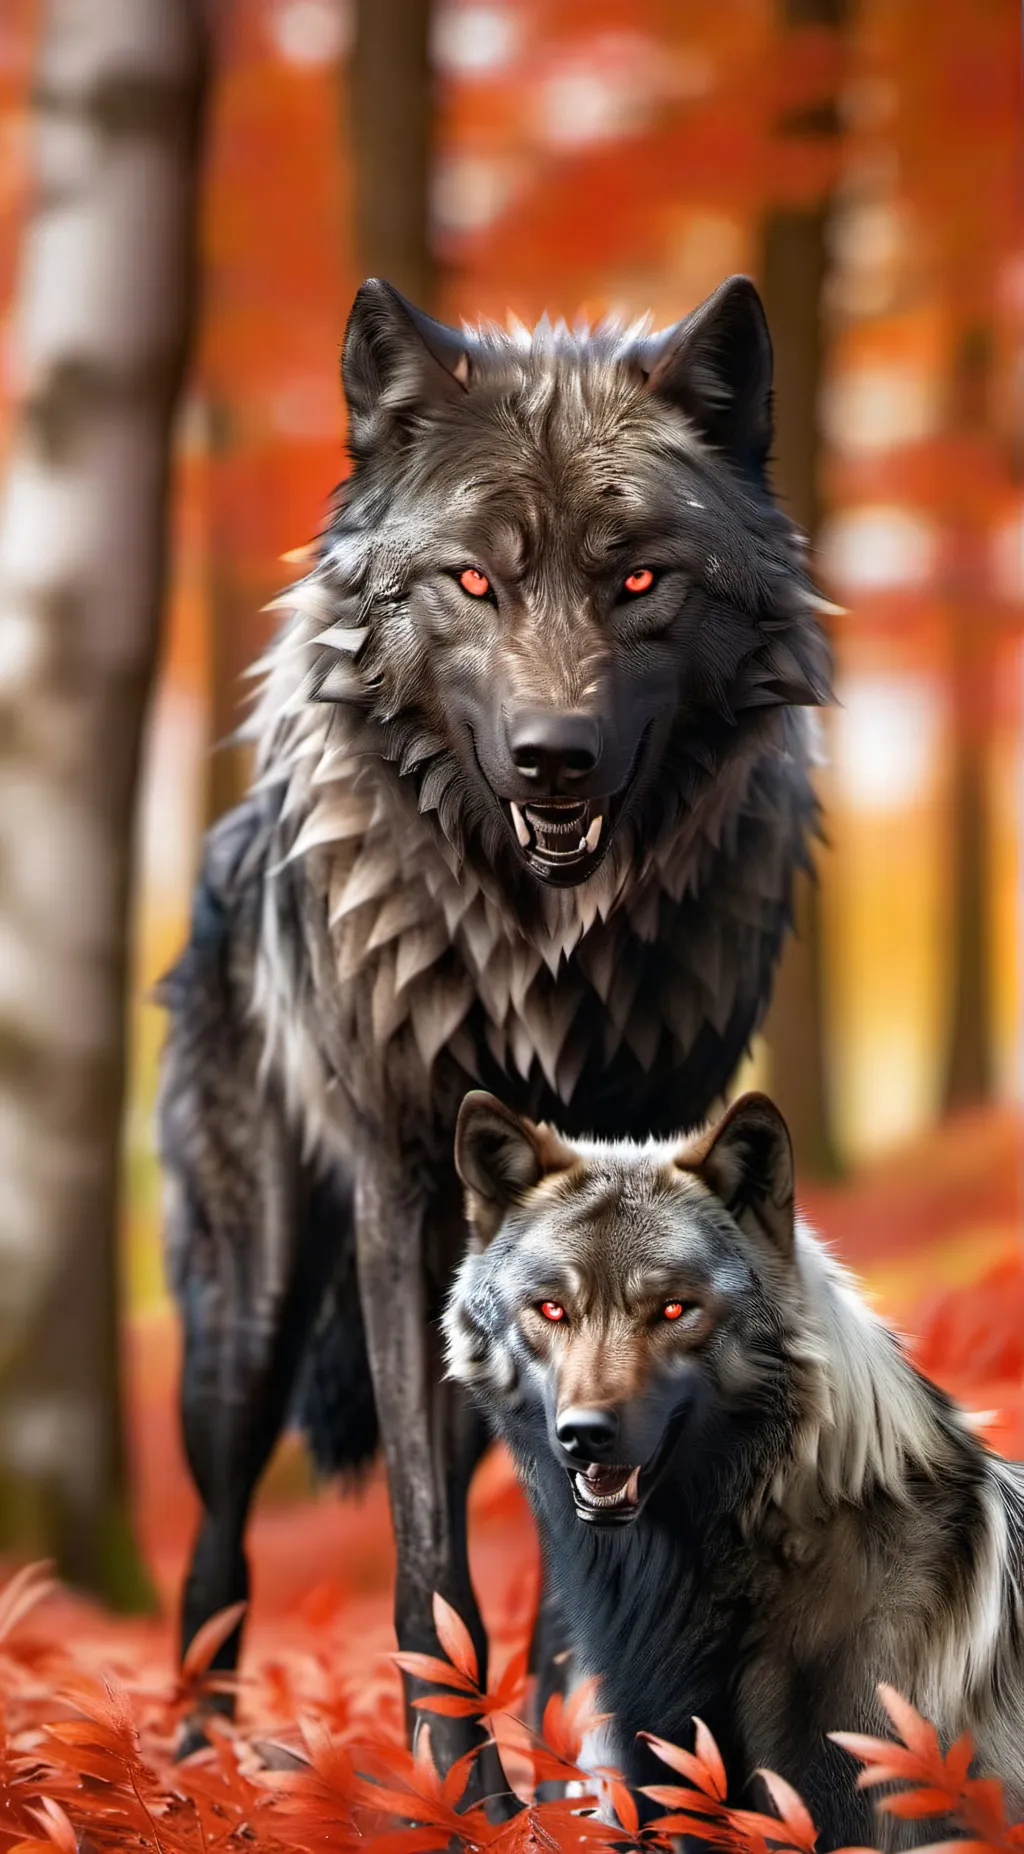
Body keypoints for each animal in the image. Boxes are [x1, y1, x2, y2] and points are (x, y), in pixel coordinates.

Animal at [157, 272, 833, 1764]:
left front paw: (599, 1758)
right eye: (475, 579)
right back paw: (190, 1758)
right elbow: (427, 1550)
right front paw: (460, 1787)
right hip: (251, 1312)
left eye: (638, 578)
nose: (553, 760)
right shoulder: (402, 1198)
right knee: (217, 1541)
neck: (538, 951)